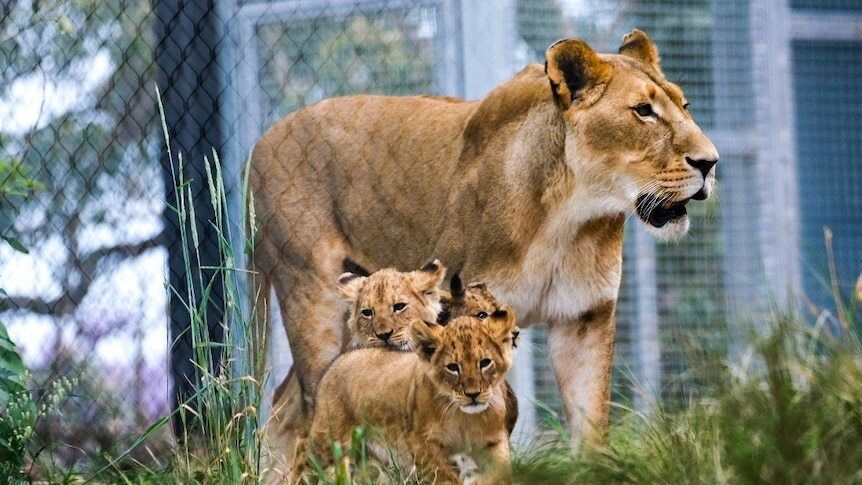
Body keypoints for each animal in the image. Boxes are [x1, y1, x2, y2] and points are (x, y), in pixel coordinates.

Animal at [250, 29, 719, 459]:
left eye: (685, 106)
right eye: (643, 111)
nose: (710, 162)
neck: (569, 218)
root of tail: (263, 139)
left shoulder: (584, 319)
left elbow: (591, 428)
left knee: (288, 405)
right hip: (313, 300)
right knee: (316, 402)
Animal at [293, 310, 519, 484]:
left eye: (485, 363)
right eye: (453, 367)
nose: (473, 395)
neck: (464, 417)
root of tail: (336, 362)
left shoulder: (494, 441)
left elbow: (499, 473)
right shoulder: (422, 442)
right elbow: (444, 477)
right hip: (329, 439)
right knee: (303, 450)